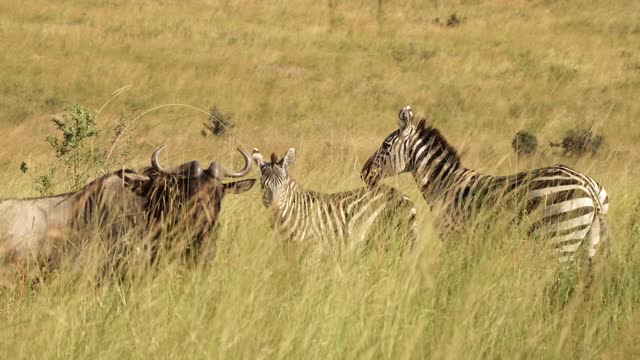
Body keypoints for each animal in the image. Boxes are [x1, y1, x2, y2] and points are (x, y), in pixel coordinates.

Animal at [252, 148, 418, 255]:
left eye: (283, 185)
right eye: (263, 185)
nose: (274, 209)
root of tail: (404, 197)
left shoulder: (314, 248)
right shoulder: (287, 248)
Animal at [360, 105, 608, 262]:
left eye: (385, 145)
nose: (364, 173)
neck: (444, 183)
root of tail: (587, 185)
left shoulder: (454, 236)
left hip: (560, 240)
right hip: (586, 243)